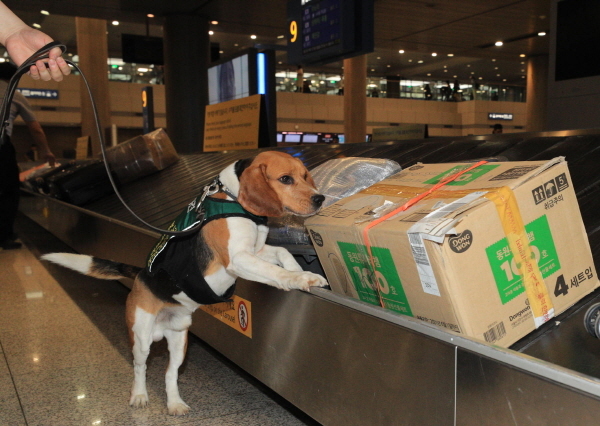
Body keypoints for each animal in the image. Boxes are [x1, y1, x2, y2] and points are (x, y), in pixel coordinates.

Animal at [43, 152, 328, 416]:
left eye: (305, 176)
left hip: (180, 342)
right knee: (140, 367)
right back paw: (139, 395)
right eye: (285, 179)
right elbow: (274, 270)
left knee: (170, 374)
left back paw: (175, 404)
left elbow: (283, 252)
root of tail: (140, 275)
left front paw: (298, 270)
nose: (320, 198)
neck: (233, 198)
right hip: (141, 337)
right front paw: (300, 278)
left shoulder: (256, 251)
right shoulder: (238, 258)